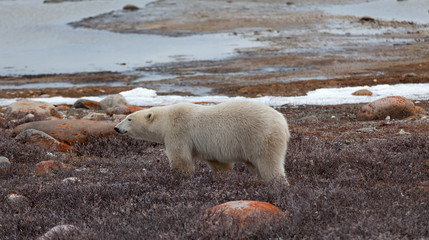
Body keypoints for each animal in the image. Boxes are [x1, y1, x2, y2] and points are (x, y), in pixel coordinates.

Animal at [113, 99, 290, 184]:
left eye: (129, 118)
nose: (116, 128)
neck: (166, 120)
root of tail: (282, 122)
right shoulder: (210, 148)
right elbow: (219, 164)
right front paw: (221, 179)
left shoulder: (178, 131)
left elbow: (181, 159)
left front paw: (179, 178)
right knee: (255, 165)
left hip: (260, 136)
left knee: (268, 162)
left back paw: (277, 184)